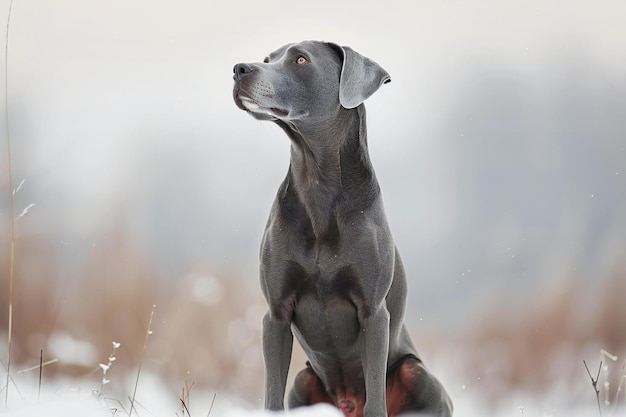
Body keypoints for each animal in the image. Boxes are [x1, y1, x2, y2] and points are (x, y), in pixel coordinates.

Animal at [232, 39, 450, 416]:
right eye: (267, 59)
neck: (317, 183)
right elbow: (272, 395)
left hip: (416, 372)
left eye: (300, 59)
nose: (238, 69)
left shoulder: (373, 313)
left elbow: (376, 400)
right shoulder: (275, 315)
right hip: (303, 381)